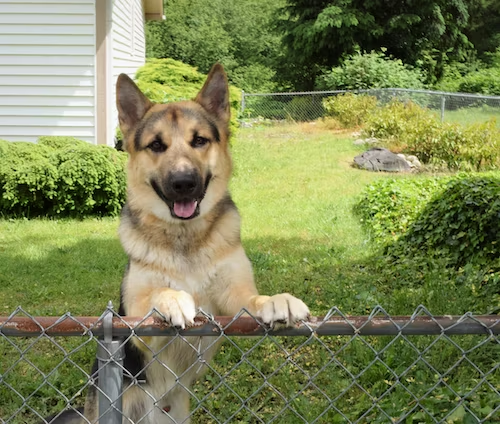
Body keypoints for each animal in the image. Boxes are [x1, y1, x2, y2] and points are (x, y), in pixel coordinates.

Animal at [46, 64, 308, 422]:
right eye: (156, 145)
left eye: (199, 141)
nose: (183, 183)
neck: (185, 241)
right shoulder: (137, 326)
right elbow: (159, 292)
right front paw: (173, 299)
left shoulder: (232, 301)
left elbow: (254, 300)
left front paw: (277, 301)